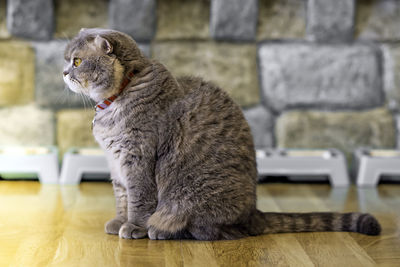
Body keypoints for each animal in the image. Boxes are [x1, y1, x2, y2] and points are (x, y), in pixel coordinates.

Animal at [62, 28, 382, 242]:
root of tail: (254, 213)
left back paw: (161, 229)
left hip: (190, 201)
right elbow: (121, 197)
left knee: (212, 231)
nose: (64, 72)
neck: (118, 96)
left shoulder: (138, 159)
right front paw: (119, 221)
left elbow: (139, 200)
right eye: (67, 60)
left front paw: (134, 227)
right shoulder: (116, 164)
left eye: (76, 61)